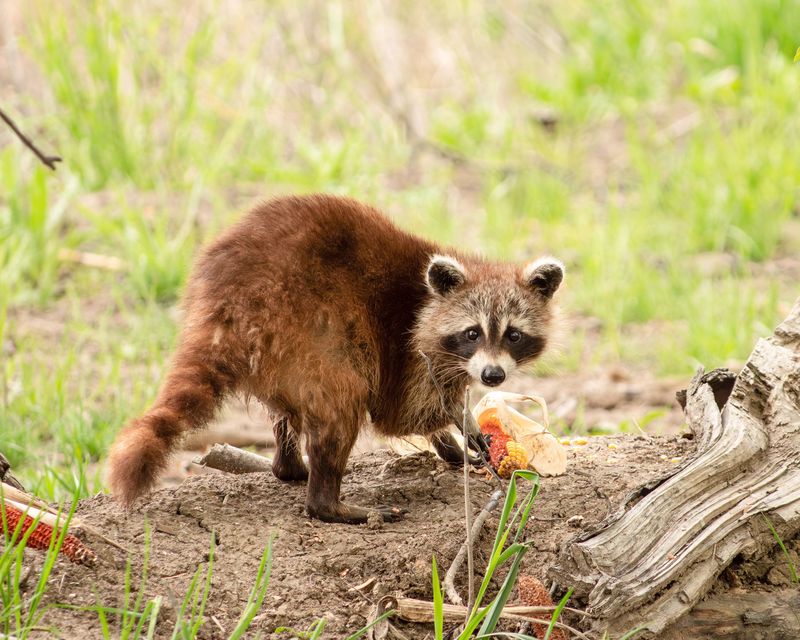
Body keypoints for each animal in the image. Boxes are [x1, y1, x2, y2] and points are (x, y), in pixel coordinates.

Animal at [108, 195, 564, 524]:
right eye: (472, 334)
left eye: (513, 335)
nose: (493, 375)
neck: (429, 299)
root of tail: (225, 300)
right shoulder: (408, 352)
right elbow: (406, 413)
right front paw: (457, 426)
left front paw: (455, 441)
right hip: (308, 326)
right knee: (343, 399)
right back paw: (328, 502)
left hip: (278, 349)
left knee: (291, 408)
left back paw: (289, 465)